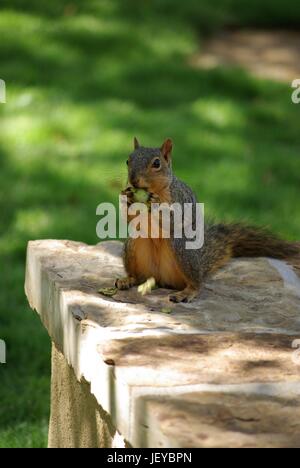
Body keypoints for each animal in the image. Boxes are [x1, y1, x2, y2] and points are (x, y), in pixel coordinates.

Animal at [114, 137, 298, 304]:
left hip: (183, 250)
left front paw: (156, 204)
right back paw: (127, 279)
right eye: (128, 160)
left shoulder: (180, 199)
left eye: (156, 163)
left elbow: (173, 220)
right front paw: (126, 198)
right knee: (138, 276)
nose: (133, 180)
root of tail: (160, 278)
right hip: (133, 245)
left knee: (197, 283)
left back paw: (187, 292)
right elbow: (131, 219)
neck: (155, 190)